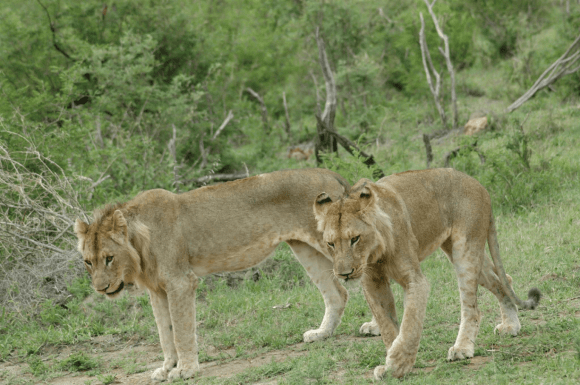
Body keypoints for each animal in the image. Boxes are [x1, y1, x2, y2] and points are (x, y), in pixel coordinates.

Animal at [72, 169, 358, 380]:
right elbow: (165, 332)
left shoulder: (180, 282)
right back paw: (322, 334)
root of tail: (329, 173)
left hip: (334, 244)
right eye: (88, 262)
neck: (140, 243)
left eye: (109, 258)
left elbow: (181, 330)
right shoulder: (158, 290)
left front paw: (185, 370)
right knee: (338, 293)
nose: (100, 288)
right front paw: (167, 367)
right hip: (304, 248)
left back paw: (367, 329)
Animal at [310, 168, 540, 378]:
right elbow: (387, 326)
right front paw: (392, 363)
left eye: (355, 239)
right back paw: (511, 325)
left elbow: (410, 323)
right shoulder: (372, 282)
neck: (375, 252)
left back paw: (462, 348)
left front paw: (398, 364)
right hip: (464, 253)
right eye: (330, 243)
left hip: (465, 250)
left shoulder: (414, 279)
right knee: (503, 280)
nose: (344, 274)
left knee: (472, 308)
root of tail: (479, 185)